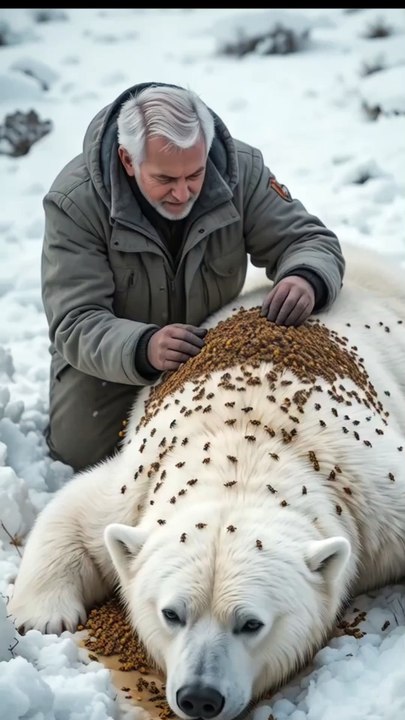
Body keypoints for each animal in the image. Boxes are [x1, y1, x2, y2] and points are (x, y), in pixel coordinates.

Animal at [8, 249, 405, 720]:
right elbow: (74, 512)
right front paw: (44, 616)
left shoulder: (367, 490)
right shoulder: (137, 484)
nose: (199, 698)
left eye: (251, 623)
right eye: (172, 613)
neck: (247, 451)